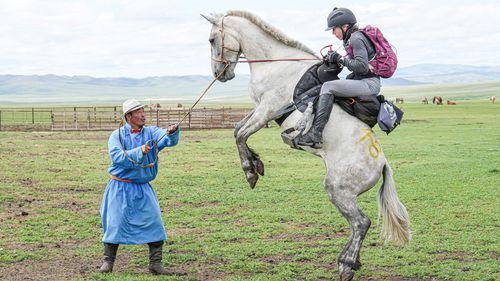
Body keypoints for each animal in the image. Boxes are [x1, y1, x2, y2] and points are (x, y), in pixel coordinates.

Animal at [203, 10, 410, 280]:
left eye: (211, 40)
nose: (219, 74)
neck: (275, 63)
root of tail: (382, 163)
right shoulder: (260, 110)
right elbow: (237, 129)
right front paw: (256, 164)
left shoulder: (267, 109)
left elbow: (240, 134)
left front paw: (250, 171)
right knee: (358, 225)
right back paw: (349, 262)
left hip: (338, 189)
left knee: (360, 223)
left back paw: (346, 264)